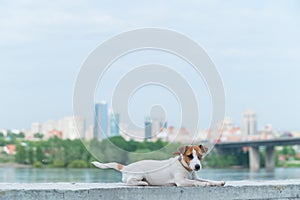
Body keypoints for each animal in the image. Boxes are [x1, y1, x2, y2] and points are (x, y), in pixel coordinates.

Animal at [91, 145, 225, 187]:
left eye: (200, 156)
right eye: (190, 156)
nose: (197, 167)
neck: (185, 167)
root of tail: (126, 167)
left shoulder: (195, 177)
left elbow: (206, 179)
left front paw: (217, 182)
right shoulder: (181, 181)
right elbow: (198, 182)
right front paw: (206, 184)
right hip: (139, 174)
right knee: (129, 182)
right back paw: (143, 183)